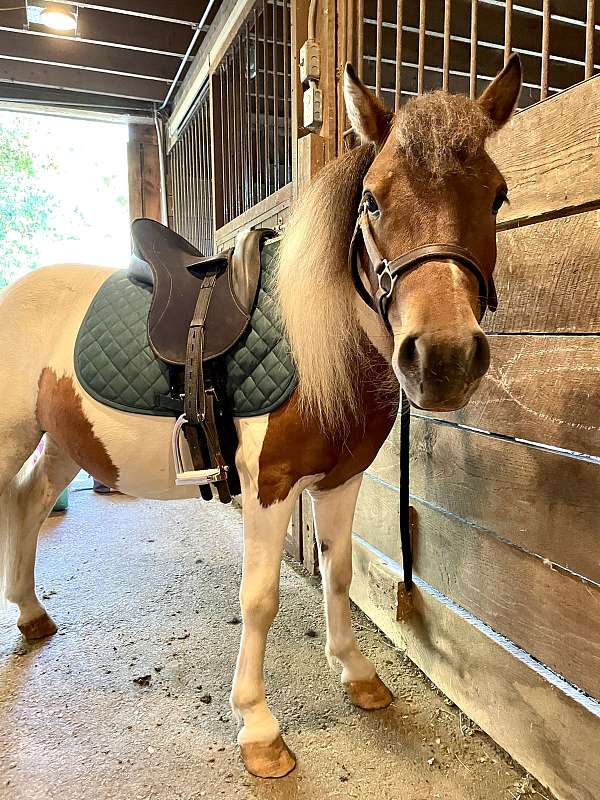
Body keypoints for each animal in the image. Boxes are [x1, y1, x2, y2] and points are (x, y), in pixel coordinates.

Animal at [1, 57, 520, 780]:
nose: (443, 359)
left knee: (28, 501)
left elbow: (338, 575)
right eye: (372, 200)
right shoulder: (268, 487)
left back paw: (31, 614)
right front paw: (258, 728)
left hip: (64, 442)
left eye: (497, 196)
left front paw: (357, 675)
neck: (320, 341)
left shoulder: (339, 482)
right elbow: (261, 598)